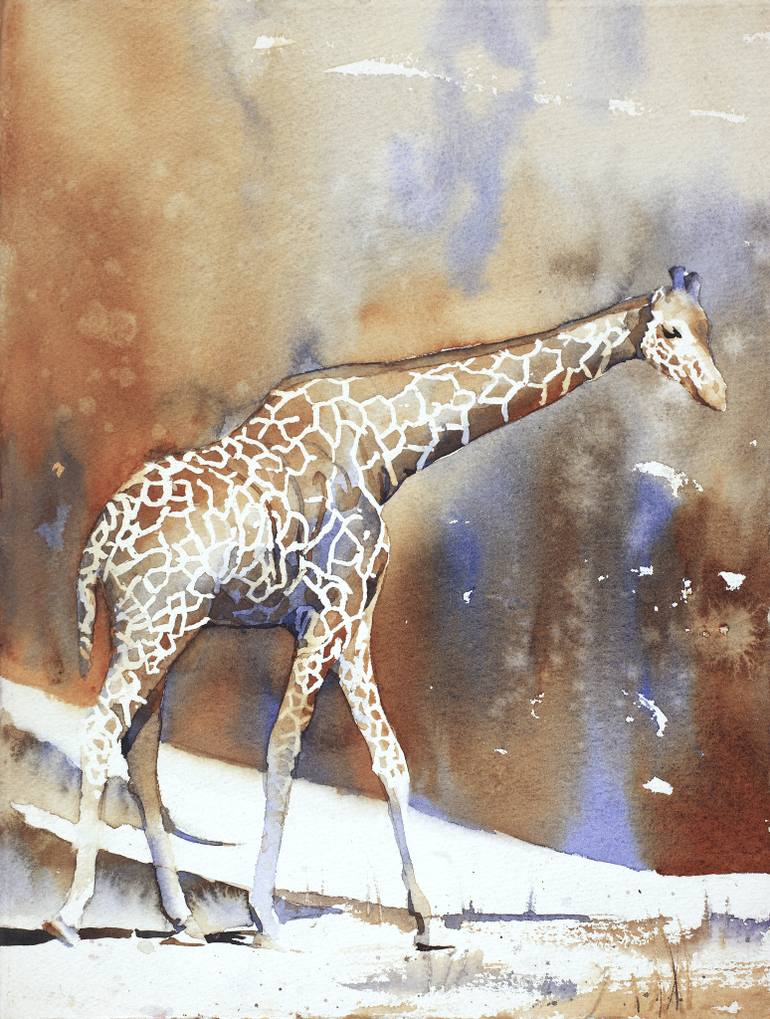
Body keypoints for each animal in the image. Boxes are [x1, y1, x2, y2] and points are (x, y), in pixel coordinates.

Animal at [45, 267, 725, 947]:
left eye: (707, 327)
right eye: (671, 331)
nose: (717, 393)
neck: (385, 444)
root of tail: (100, 535)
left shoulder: (354, 616)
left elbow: (390, 759)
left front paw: (428, 918)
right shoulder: (331, 608)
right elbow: (284, 748)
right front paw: (265, 914)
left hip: (156, 629)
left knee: (139, 743)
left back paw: (181, 919)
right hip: (158, 624)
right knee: (103, 730)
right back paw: (71, 914)